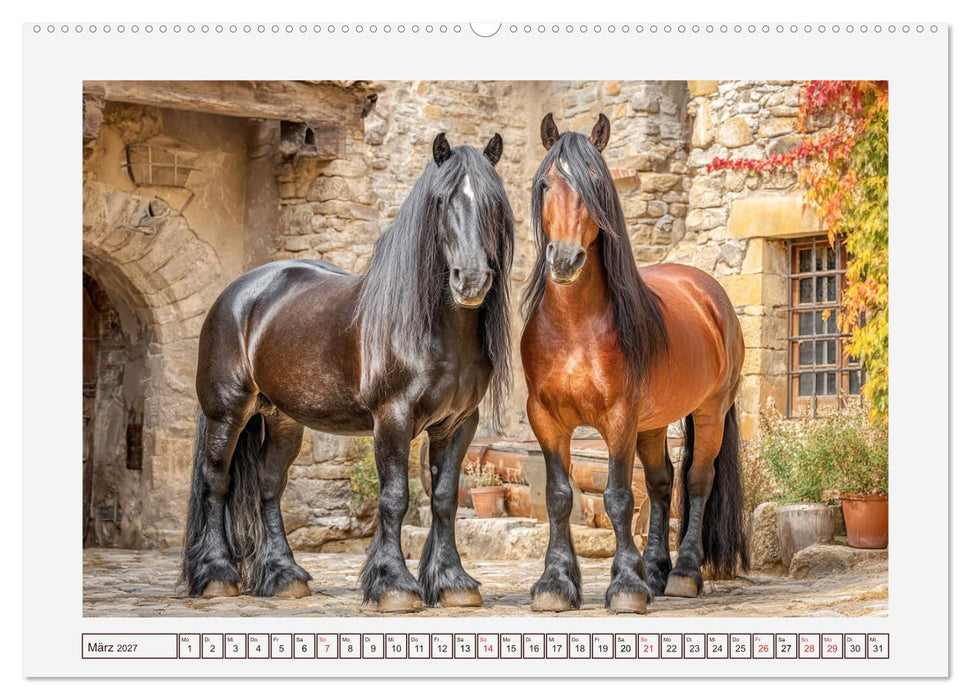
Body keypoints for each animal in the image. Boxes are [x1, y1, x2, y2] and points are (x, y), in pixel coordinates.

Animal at [180, 132, 514, 613]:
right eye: (441, 201)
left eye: (493, 202)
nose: (470, 280)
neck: (433, 329)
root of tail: (239, 292)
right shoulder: (392, 418)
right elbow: (394, 498)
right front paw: (393, 585)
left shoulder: (458, 424)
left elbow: (445, 498)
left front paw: (452, 582)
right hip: (228, 413)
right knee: (217, 483)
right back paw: (216, 575)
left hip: (282, 420)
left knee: (268, 486)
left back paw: (285, 577)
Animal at [520, 113, 748, 614]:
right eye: (545, 184)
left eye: (595, 183)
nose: (564, 259)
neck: (575, 326)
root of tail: (709, 292)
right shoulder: (545, 418)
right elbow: (559, 496)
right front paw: (555, 583)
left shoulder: (619, 418)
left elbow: (619, 497)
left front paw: (625, 584)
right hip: (654, 423)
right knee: (662, 483)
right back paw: (657, 571)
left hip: (710, 411)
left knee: (697, 481)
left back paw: (683, 574)